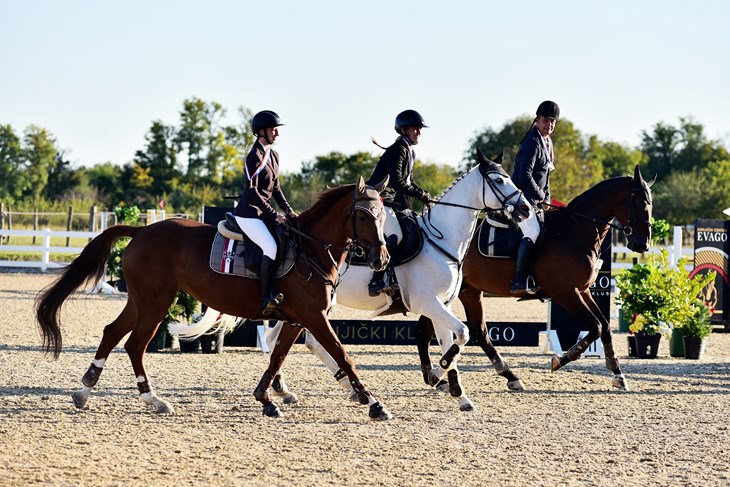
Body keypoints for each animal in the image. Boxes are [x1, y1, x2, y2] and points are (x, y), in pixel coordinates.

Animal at [36, 177, 396, 422]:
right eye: (364, 216)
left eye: (383, 216)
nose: (381, 259)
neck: (311, 248)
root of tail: (141, 231)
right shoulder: (314, 316)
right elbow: (343, 355)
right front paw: (374, 404)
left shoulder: (297, 319)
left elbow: (277, 357)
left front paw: (266, 399)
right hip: (155, 303)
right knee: (135, 344)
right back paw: (154, 399)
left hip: (141, 301)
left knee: (112, 333)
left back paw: (84, 391)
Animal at [268, 149, 528, 412]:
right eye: (498, 180)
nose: (525, 208)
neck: (441, 241)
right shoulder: (427, 303)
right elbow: (462, 335)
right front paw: (436, 375)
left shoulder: (442, 305)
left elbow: (451, 343)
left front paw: (459, 394)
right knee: (290, 341)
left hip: (306, 307)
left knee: (296, 341)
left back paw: (303, 389)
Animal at [416, 166, 656, 390]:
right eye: (641, 204)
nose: (643, 245)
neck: (576, 231)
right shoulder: (565, 293)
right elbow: (595, 326)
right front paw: (561, 359)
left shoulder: (583, 290)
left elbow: (605, 327)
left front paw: (618, 374)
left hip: (465, 291)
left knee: (467, 331)